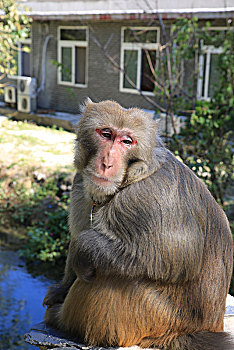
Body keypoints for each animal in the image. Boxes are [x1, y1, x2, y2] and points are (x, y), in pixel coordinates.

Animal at [43, 99, 233, 350]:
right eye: (106, 134)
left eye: (127, 141)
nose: (106, 163)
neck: (129, 179)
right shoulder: (79, 183)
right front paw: (60, 289)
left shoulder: (148, 198)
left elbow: (178, 258)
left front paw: (83, 251)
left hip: (153, 317)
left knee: (109, 275)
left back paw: (61, 319)